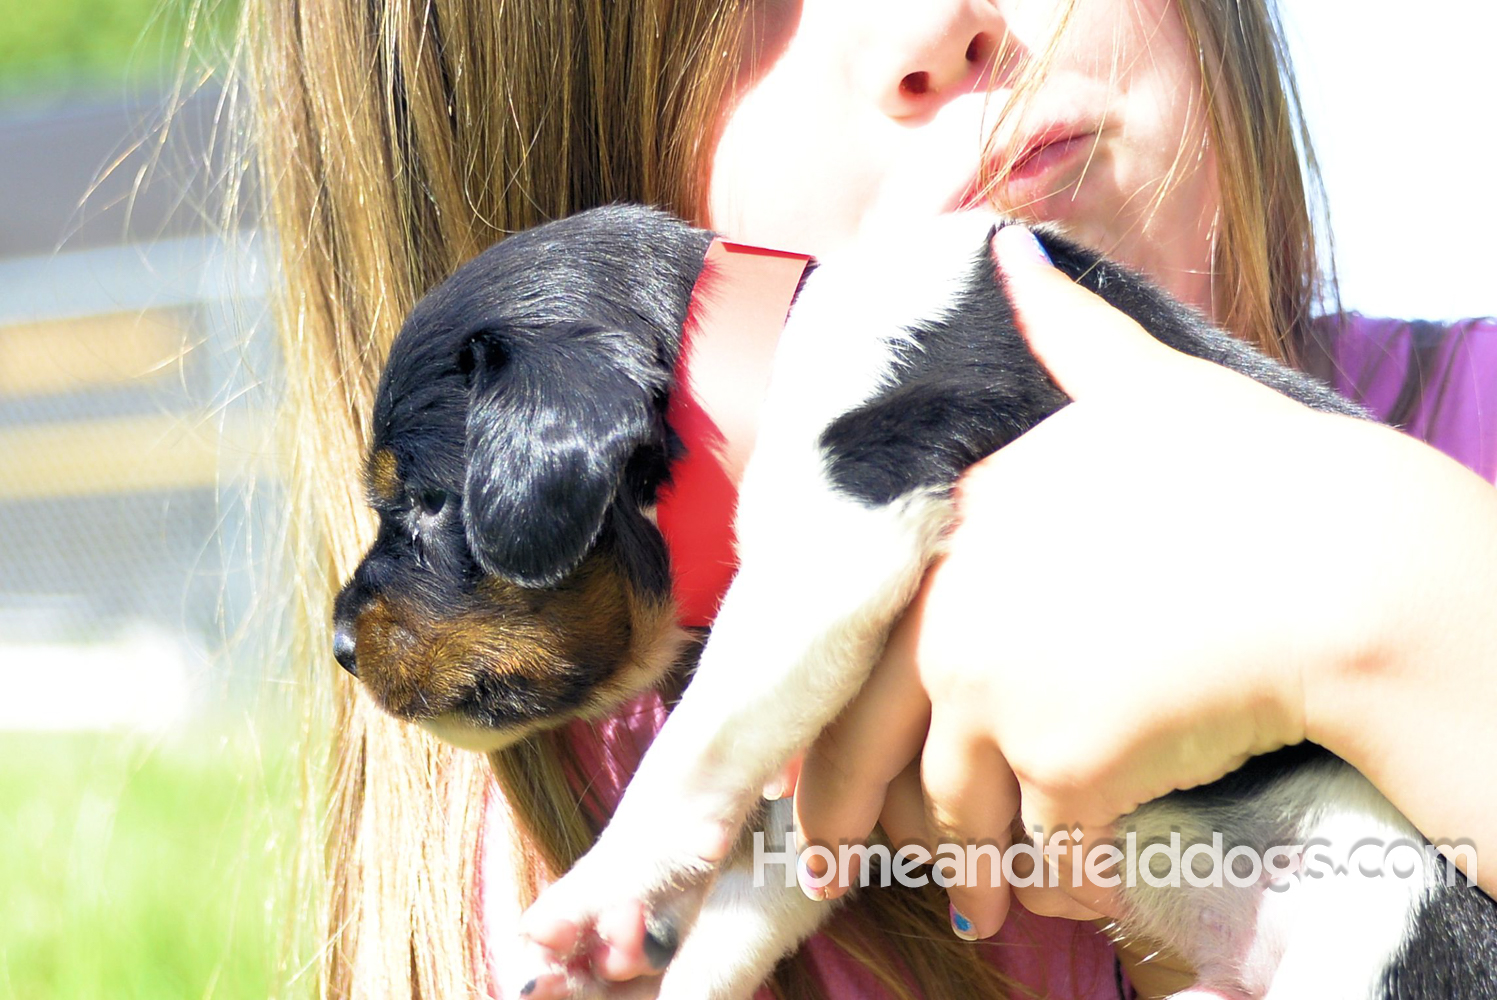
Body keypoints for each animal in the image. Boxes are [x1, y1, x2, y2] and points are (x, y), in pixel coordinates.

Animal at [333, 205, 1497, 999]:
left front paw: (591, 893)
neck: (774, 365)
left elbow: (689, 754)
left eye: (427, 504)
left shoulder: (841, 530)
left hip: (1387, 916)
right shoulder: (821, 757)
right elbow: (758, 879)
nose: (340, 642)